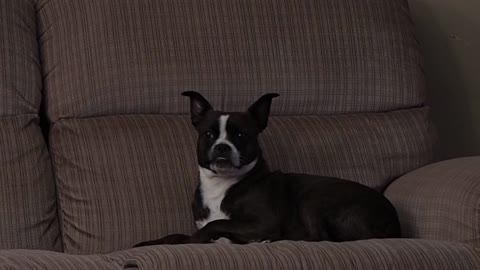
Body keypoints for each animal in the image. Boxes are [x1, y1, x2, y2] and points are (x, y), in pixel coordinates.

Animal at [133, 92, 400, 246]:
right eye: (208, 134)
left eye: (241, 135)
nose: (222, 147)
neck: (222, 184)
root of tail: (393, 221)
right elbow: (176, 235)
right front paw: (149, 243)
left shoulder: (263, 223)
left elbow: (215, 225)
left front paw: (197, 240)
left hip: (313, 198)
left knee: (320, 238)